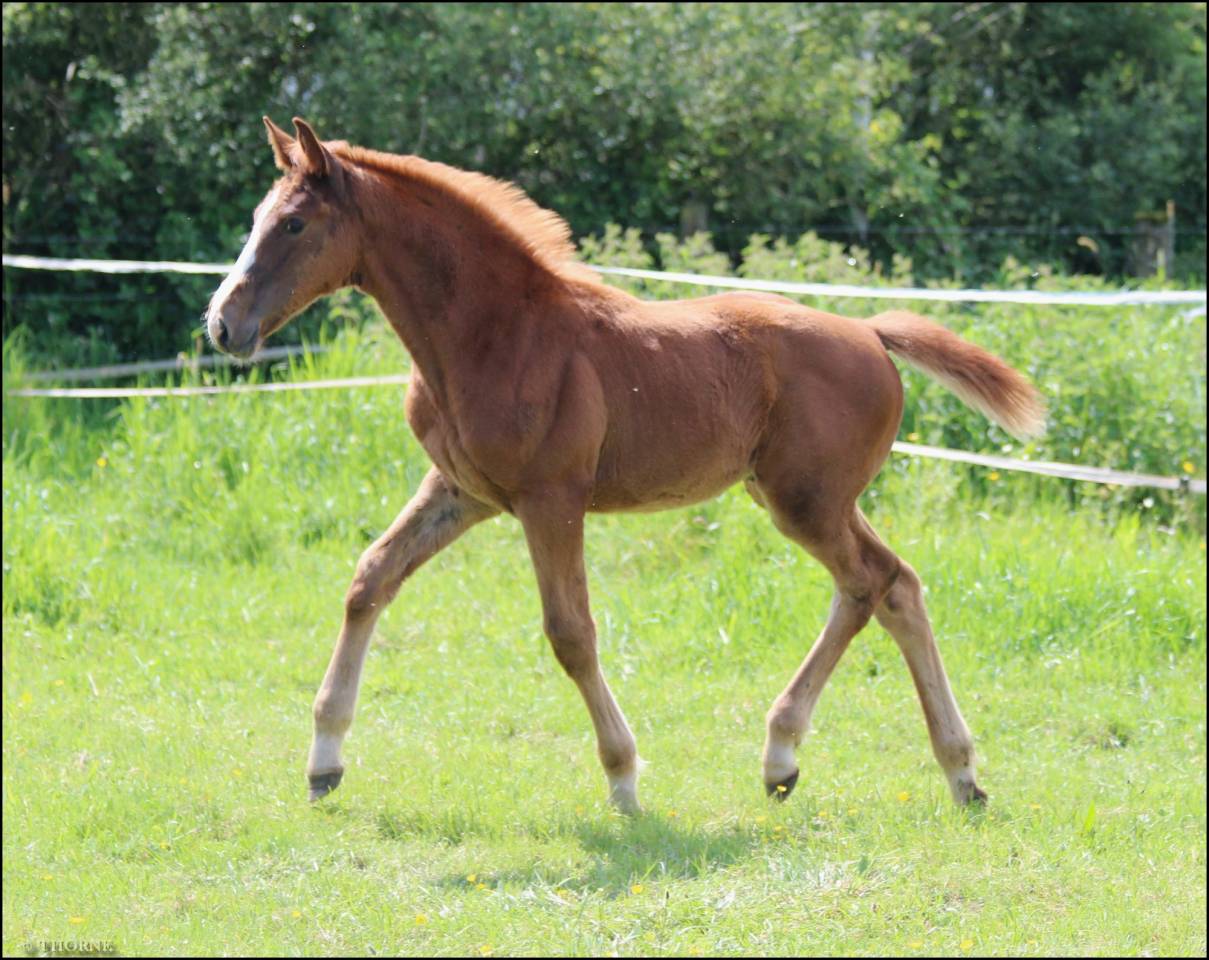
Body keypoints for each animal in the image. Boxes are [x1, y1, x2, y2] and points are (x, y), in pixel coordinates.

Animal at [206, 117, 1045, 814]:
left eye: (293, 223)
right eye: (255, 220)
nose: (222, 324)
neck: (495, 332)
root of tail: (870, 334)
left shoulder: (550, 500)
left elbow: (570, 633)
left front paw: (624, 778)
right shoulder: (462, 491)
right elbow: (369, 579)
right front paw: (323, 760)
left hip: (805, 501)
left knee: (873, 582)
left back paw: (860, 760)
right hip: (810, 498)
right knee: (889, 586)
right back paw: (891, 768)